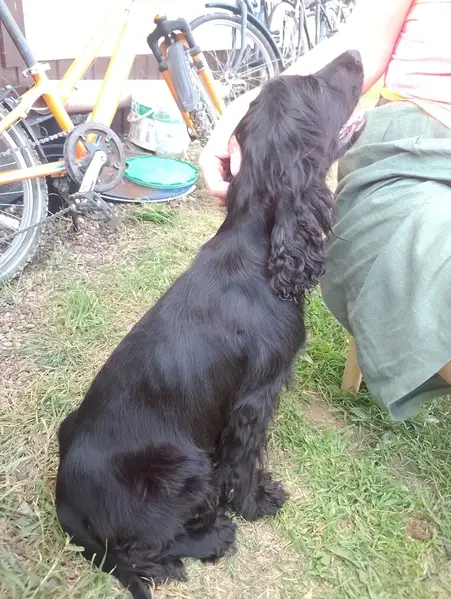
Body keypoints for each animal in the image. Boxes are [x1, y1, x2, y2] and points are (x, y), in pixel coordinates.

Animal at [55, 50, 364, 599]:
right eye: (314, 84)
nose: (355, 54)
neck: (262, 255)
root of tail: (62, 499)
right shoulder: (254, 399)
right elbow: (244, 459)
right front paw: (254, 503)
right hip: (183, 466)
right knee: (145, 550)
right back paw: (212, 536)